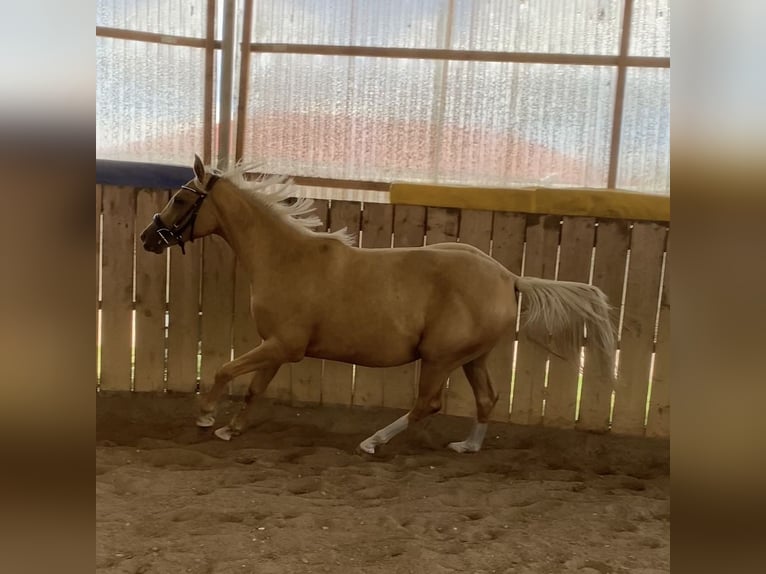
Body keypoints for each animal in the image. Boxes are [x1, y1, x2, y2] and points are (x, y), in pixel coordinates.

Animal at [140, 158, 616, 454]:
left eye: (181, 199)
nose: (148, 237)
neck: (285, 257)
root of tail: (508, 277)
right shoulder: (275, 346)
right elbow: (255, 386)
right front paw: (231, 429)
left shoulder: (284, 345)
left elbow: (225, 370)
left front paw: (205, 417)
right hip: (471, 358)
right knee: (487, 398)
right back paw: (468, 446)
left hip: (440, 358)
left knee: (428, 404)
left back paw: (372, 442)